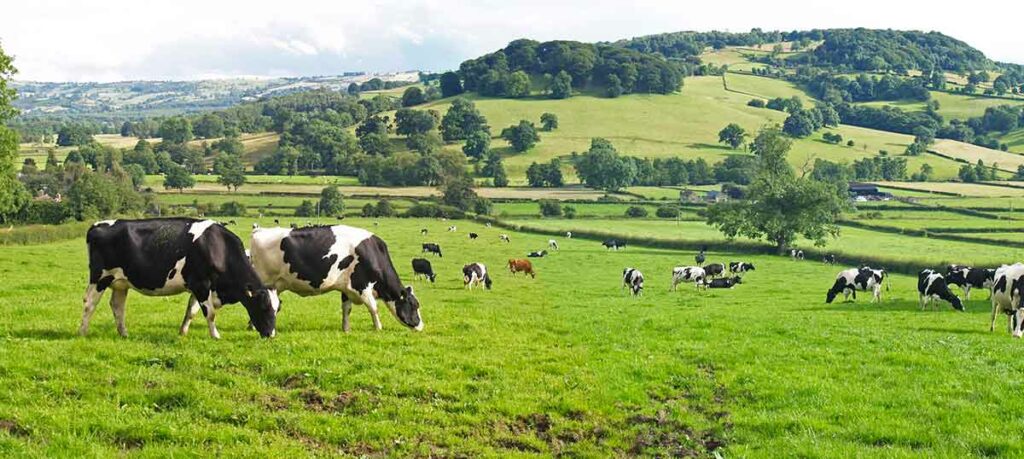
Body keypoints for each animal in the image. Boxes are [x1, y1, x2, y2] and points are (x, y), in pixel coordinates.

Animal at [80, 217, 278, 338]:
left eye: (278, 309)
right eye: (264, 306)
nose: (271, 334)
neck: (218, 247)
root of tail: (96, 225)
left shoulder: (199, 287)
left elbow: (191, 311)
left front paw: (183, 332)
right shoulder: (201, 284)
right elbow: (210, 313)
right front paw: (215, 335)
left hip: (120, 282)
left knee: (117, 306)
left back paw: (124, 333)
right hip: (100, 277)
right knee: (89, 303)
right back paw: (82, 331)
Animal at [251, 225, 423, 334]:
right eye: (414, 305)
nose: (421, 326)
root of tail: (259, 230)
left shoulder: (346, 288)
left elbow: (347, 309)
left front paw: (346, 329)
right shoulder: (362, 286)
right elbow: (373, 308)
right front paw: (378, 328)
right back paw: (253, 326)